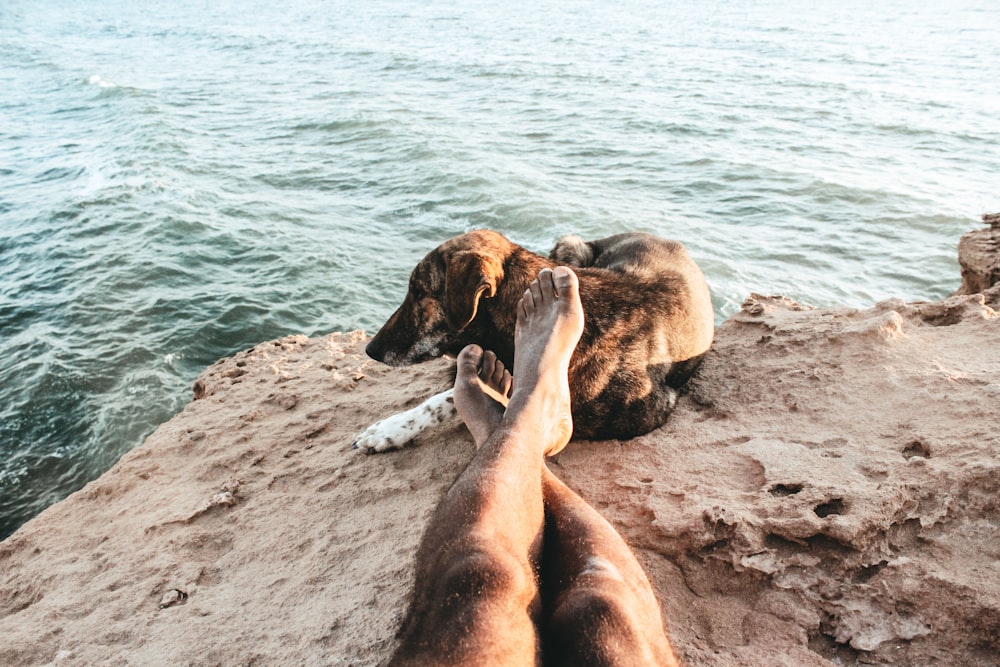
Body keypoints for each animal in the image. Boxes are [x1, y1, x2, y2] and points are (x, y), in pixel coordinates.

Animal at [352, 230, 712, 454]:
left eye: (418, 293)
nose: (370, 350)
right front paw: (393, 427)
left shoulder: (652, 408)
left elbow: (453, 398)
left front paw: (389, 430)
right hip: (572, 246)